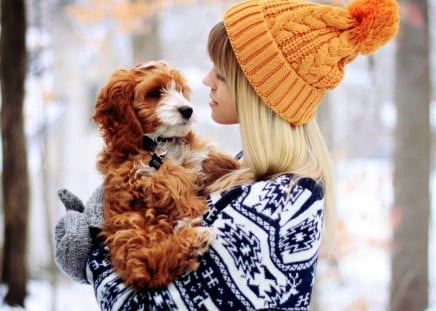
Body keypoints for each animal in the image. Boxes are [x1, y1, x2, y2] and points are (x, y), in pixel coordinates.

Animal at [93, 60, 240, 290]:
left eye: (179, 89)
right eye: (154, 93)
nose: (188, 110)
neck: (161, 143)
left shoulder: (193, 156)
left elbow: (207, 158)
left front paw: (235, 164)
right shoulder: (138, 175)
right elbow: (172, 179)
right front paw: (197, 206)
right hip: (140, 226)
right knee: (154, 262)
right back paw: (193, 237)